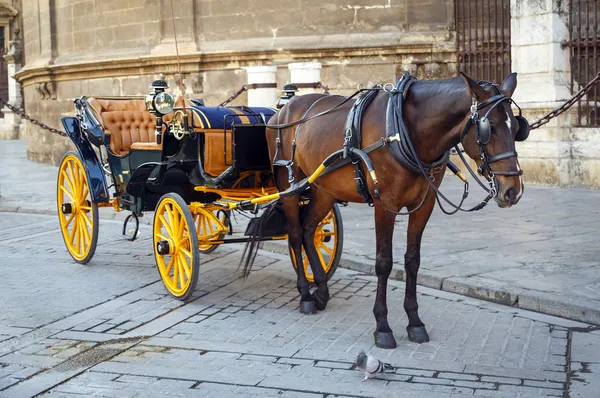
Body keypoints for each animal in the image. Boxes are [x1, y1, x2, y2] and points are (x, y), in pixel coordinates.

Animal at [264, 72, 524, 348]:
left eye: (517, 129)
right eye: (489, 128)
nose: (513, 191)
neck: (405, 130)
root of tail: (283, 109)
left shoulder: (424, 204)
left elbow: (412, 261)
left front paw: (415, 321)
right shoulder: (385, 204)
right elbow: (384, 262)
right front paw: (382, 326)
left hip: (323, 189)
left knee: (308, 230)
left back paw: (322, 292)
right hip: (288, 185)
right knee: (295, 234)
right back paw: (305, 295)